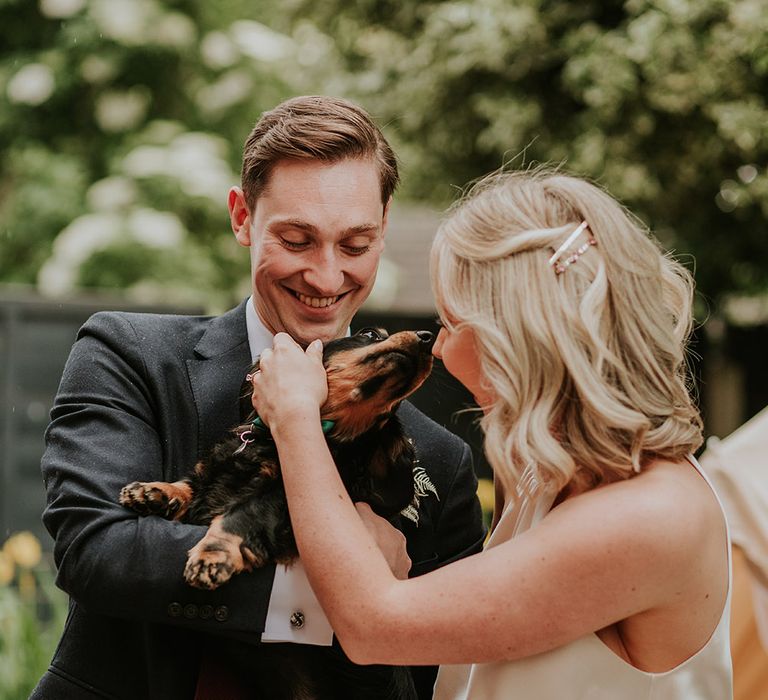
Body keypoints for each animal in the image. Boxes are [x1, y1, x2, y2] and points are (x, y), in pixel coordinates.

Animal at [118, 328, 436, 700]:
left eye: (391, 411)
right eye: (370, 334)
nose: (429, 337)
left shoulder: (282, 499)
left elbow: (242, 515)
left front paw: (213, 556)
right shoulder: (213, 477)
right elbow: (191, 485)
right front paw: (152, 492)